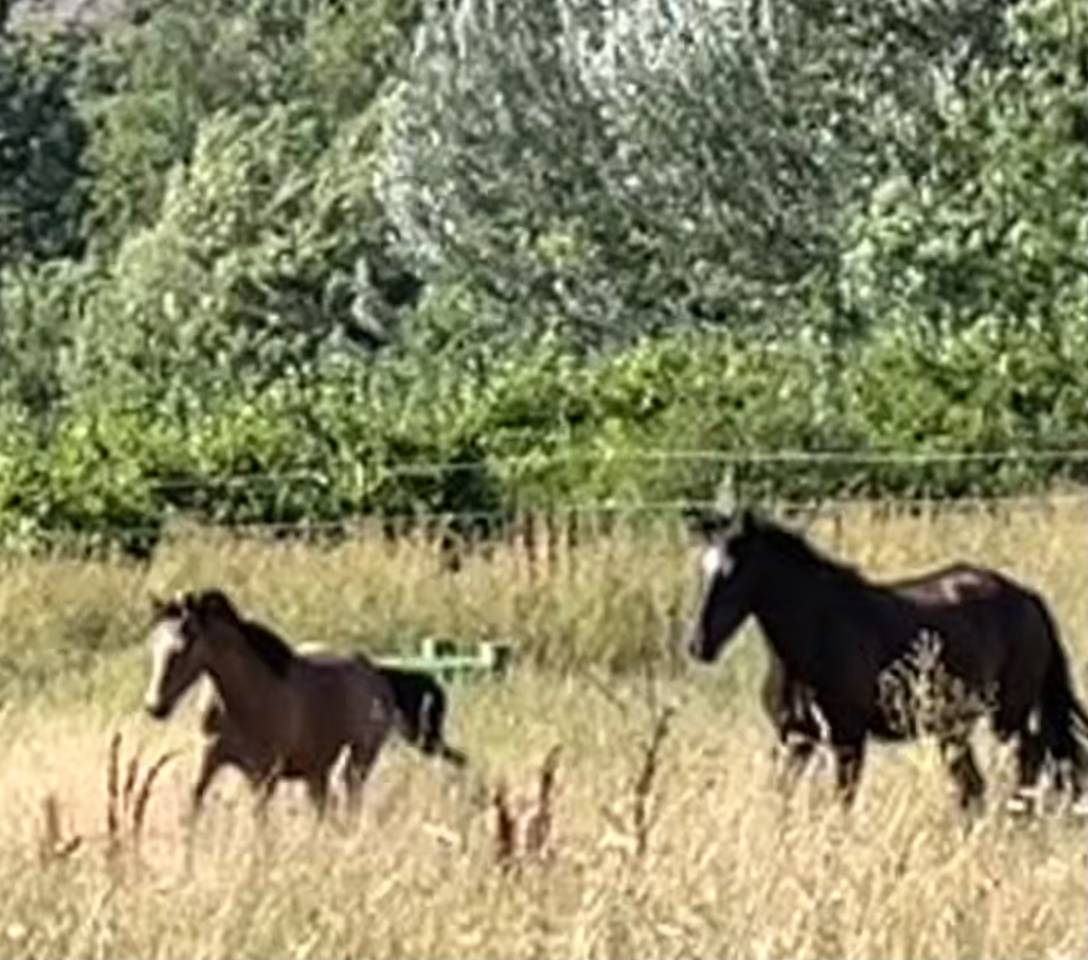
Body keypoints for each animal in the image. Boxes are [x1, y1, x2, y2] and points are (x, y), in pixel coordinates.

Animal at [144, 589, 396, 820]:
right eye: (153, 645)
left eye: (184, 647)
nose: (155, 707)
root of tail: (374, 673)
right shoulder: (207, 760)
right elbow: (193, 803)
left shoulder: (263, 775)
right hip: (316, 770)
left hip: (358, 761)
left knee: (351, 803)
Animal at [685, 508, 1088, 810]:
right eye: (701, 569)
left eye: (734, 573)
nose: (698, 645)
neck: (815, 634)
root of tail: (1027, 597)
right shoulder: (793, 739)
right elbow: (781, 800)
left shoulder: (847, 739)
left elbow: (841, 805)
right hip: (955, 728)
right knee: (974, 786)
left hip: (1007, 717)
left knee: (1028, 760)